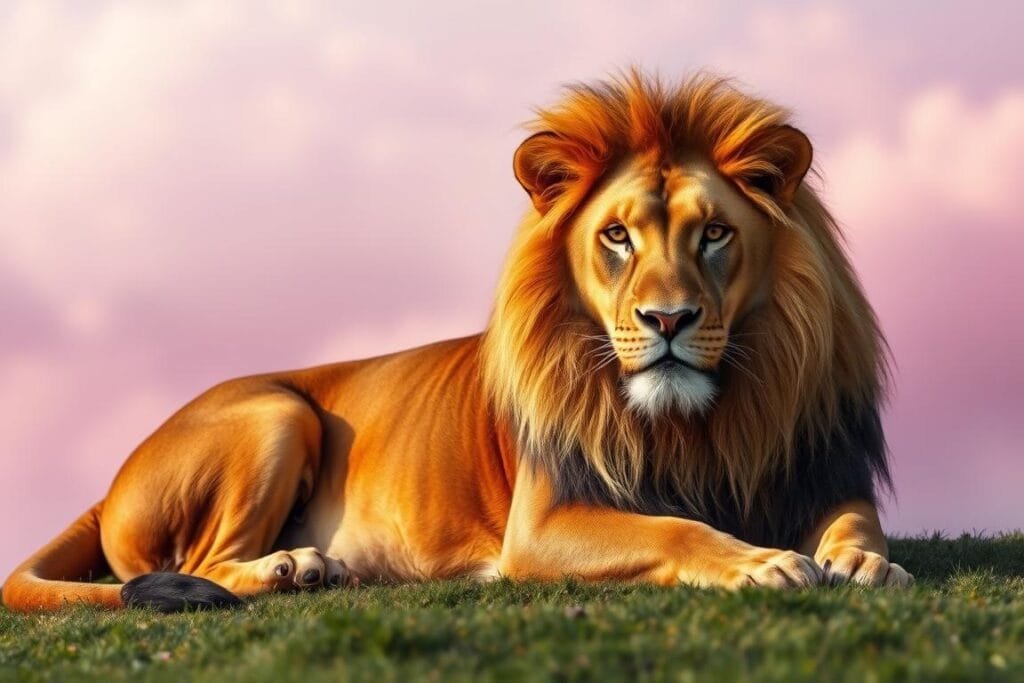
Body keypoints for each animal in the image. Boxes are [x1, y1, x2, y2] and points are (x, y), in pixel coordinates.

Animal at [2, 72, 911, 612]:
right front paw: (762, 564)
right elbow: (671, 529)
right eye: (616, 236)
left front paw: (864, 564)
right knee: (203, 560)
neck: (709, 420)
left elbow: (857, 522)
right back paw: (291, 567)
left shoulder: (819, 466)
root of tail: (107, 483)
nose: (668, 320)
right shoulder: (542, 524)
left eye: (715, 233)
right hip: (275, 413)